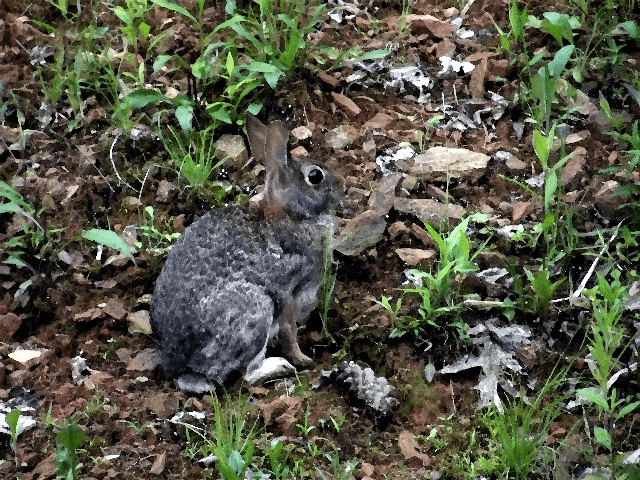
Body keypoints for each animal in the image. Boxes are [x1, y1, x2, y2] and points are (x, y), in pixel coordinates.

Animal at [151, 113, 344, 394]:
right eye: (315, 176)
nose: (343, 186)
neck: (291, 214)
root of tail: (175, 362)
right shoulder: (288, 290)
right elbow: (288, 330)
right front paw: (302, 359)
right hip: (255, 309)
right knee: (243, 375)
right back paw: (279, 366)